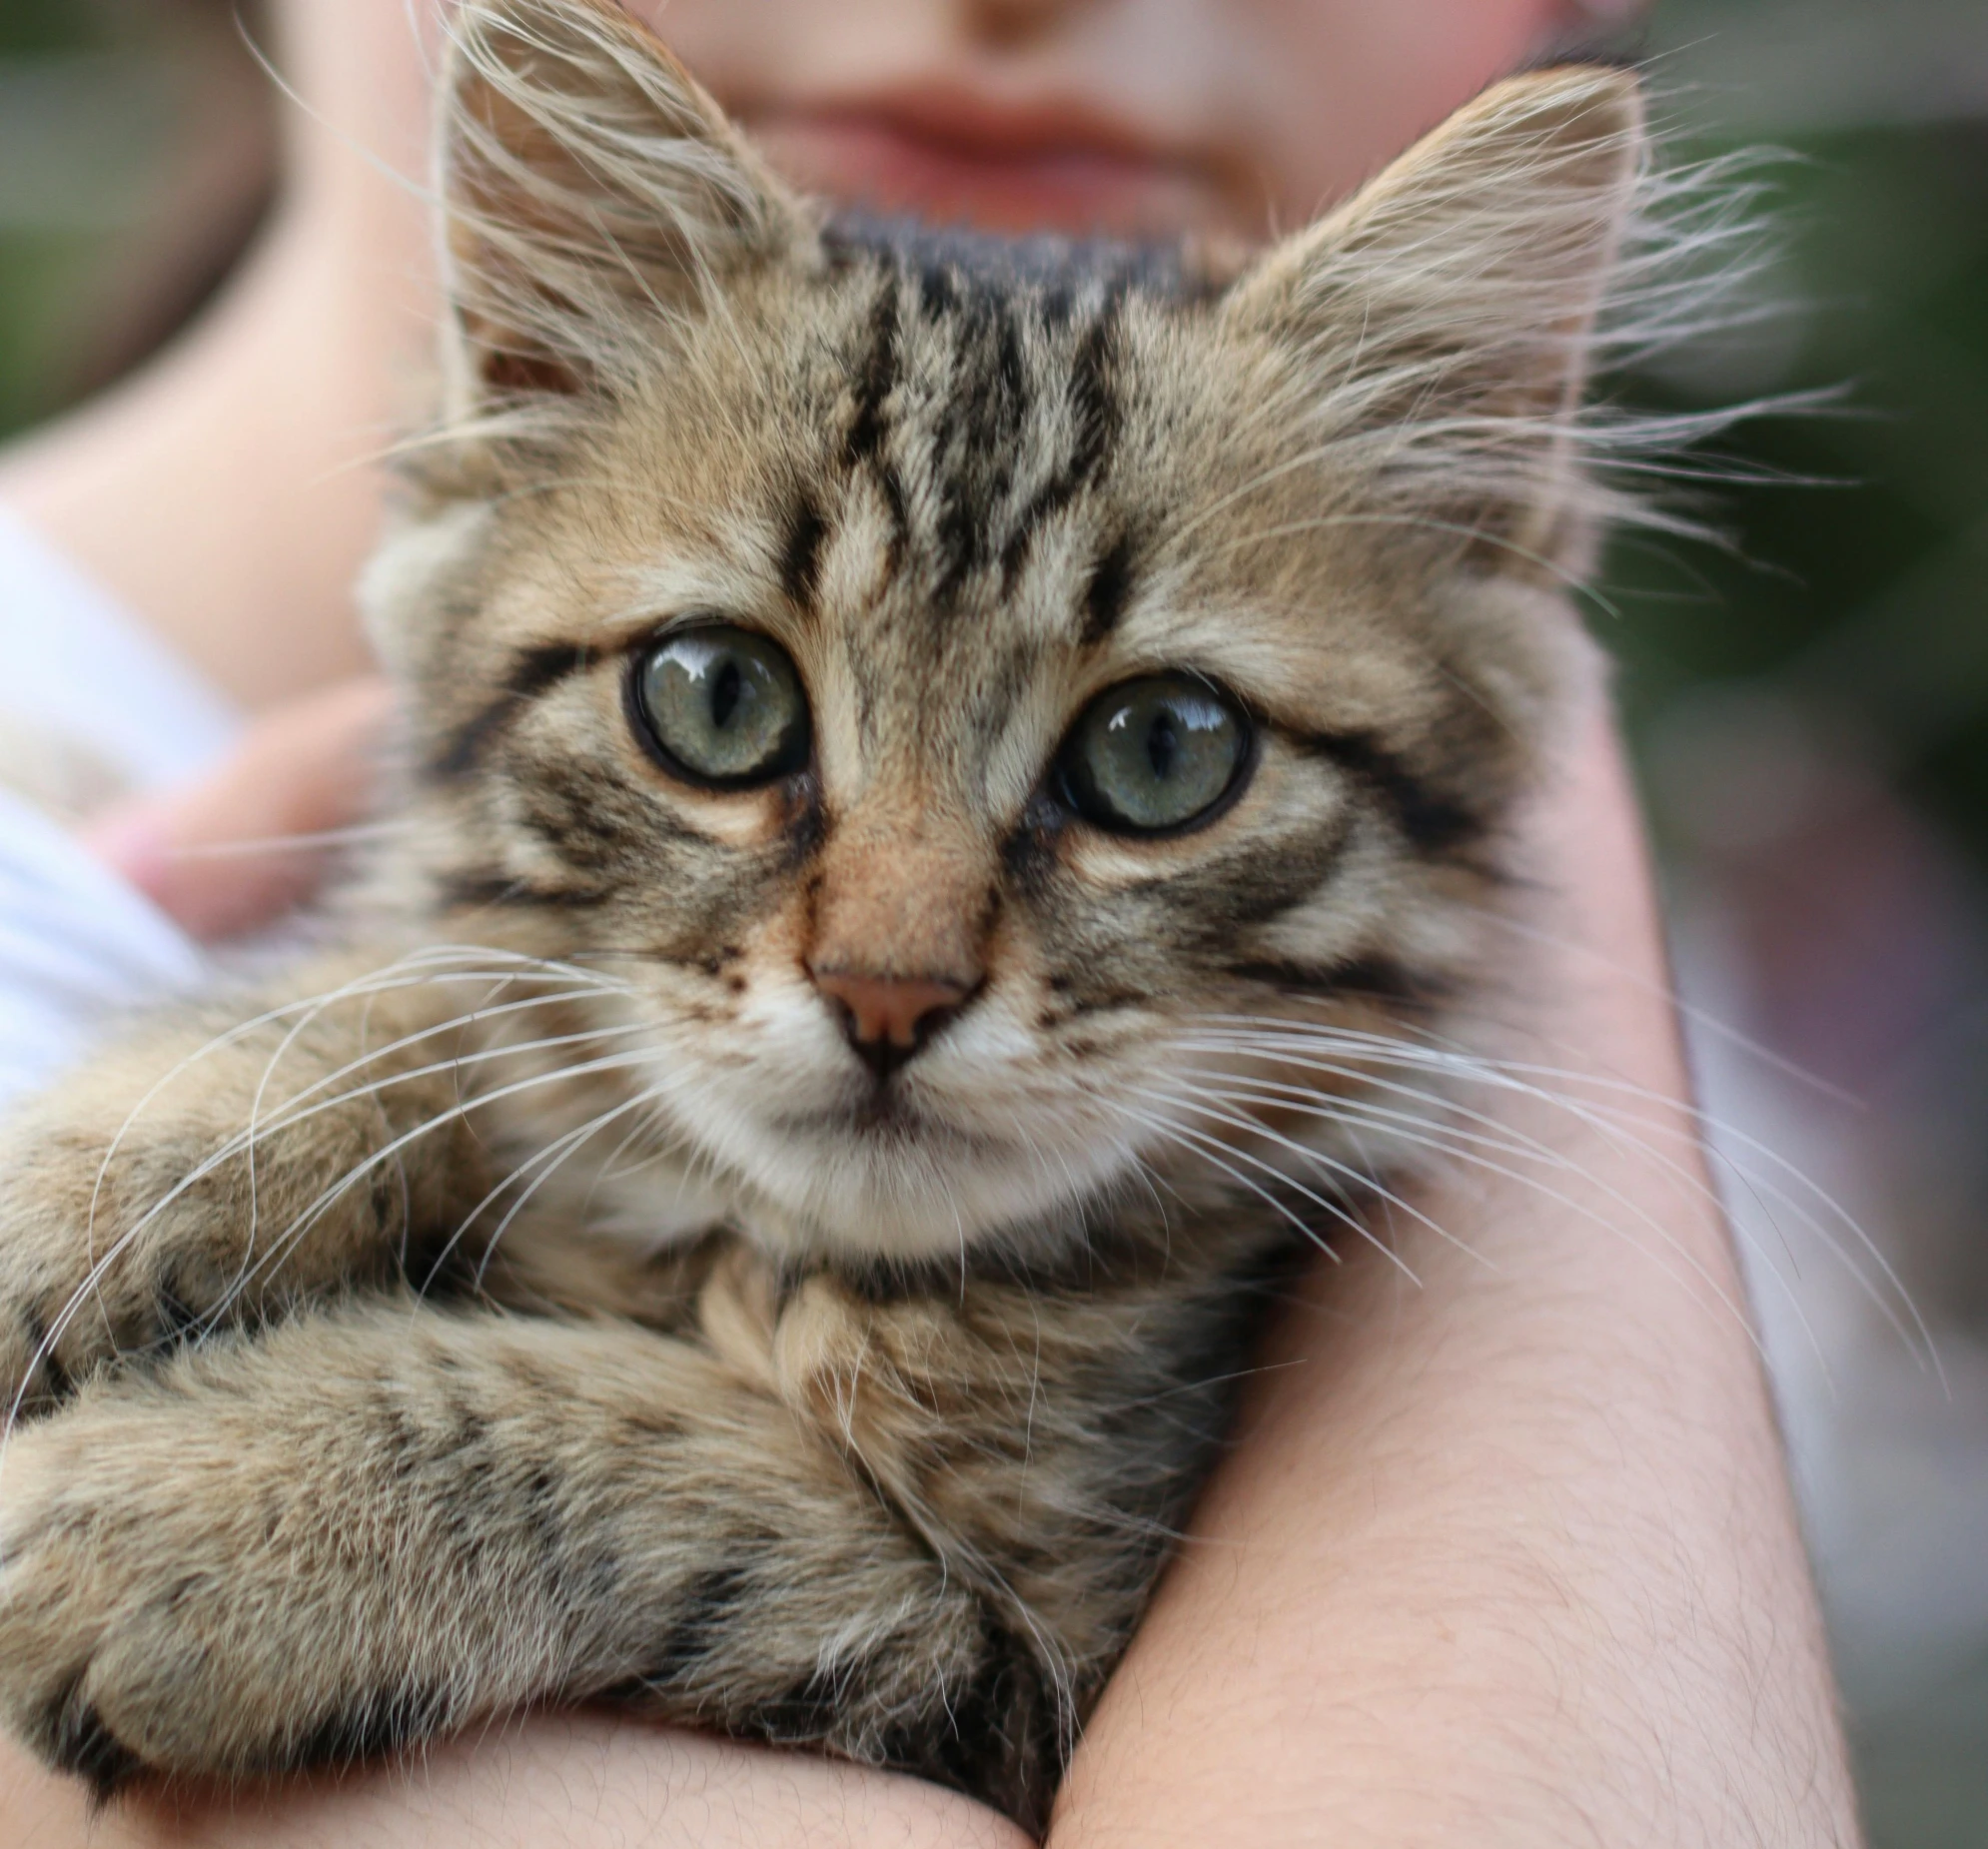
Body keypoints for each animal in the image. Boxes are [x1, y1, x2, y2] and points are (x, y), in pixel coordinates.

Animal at [0, 0, 1645, 1813]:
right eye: (714, 698)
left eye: (1163, 748)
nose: (888, 992)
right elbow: (408, 988)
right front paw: (104, 1180)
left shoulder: (1007, 1644)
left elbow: (668, 1447)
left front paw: (210, 1498)